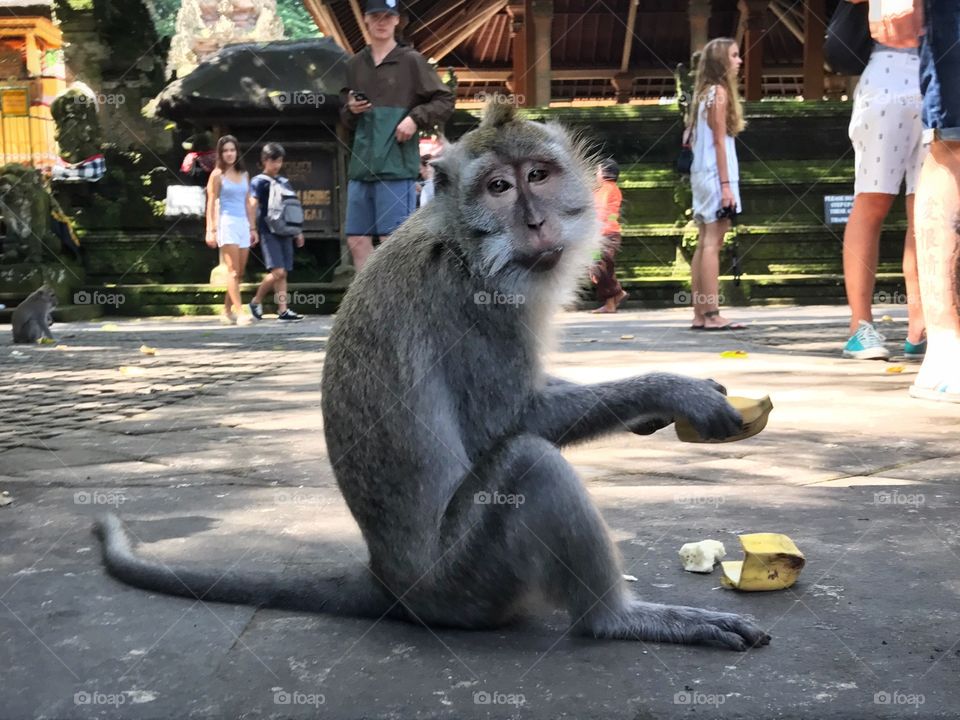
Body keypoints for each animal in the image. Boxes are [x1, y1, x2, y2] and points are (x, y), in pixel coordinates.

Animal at [95, 102, 772, 652]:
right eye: (498, 187)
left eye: (538, 176)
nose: (535, 222)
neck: (464, 241)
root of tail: (388, 580)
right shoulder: (471, 302)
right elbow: (511, 420)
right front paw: (673, 391)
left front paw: (655, 412)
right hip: (467, 578)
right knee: (531, 462)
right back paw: (617, 619)